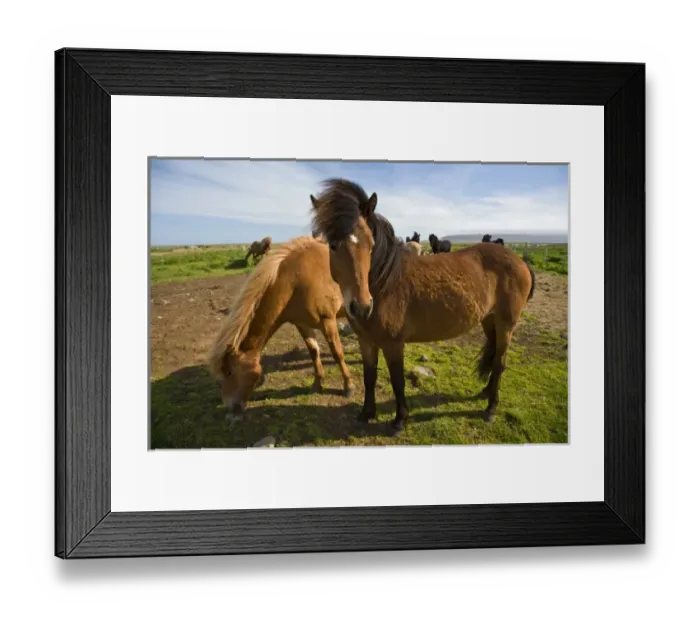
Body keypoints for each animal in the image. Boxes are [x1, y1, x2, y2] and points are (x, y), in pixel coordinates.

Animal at [207, 236, 355, 412]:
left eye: (229, 372)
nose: (230, 405)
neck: (296, 280)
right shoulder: (302, 324)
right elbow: (314, 352)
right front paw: (317, 385)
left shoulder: (328, 321)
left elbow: (337, 353)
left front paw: (348, 386)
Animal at [310, 179, 535, 436]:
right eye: (333, 245)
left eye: (370, 244)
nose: (362, 307)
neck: (385, 282)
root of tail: (520, 261)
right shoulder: (366, 341)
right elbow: (369, 377)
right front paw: (367, 414)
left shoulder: (393, 344)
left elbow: (398, 381)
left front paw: (399, 421)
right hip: (489, 320)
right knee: (494, 355)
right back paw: (486, 393)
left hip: (507, 323)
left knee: (499, 363)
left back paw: (490, 409)